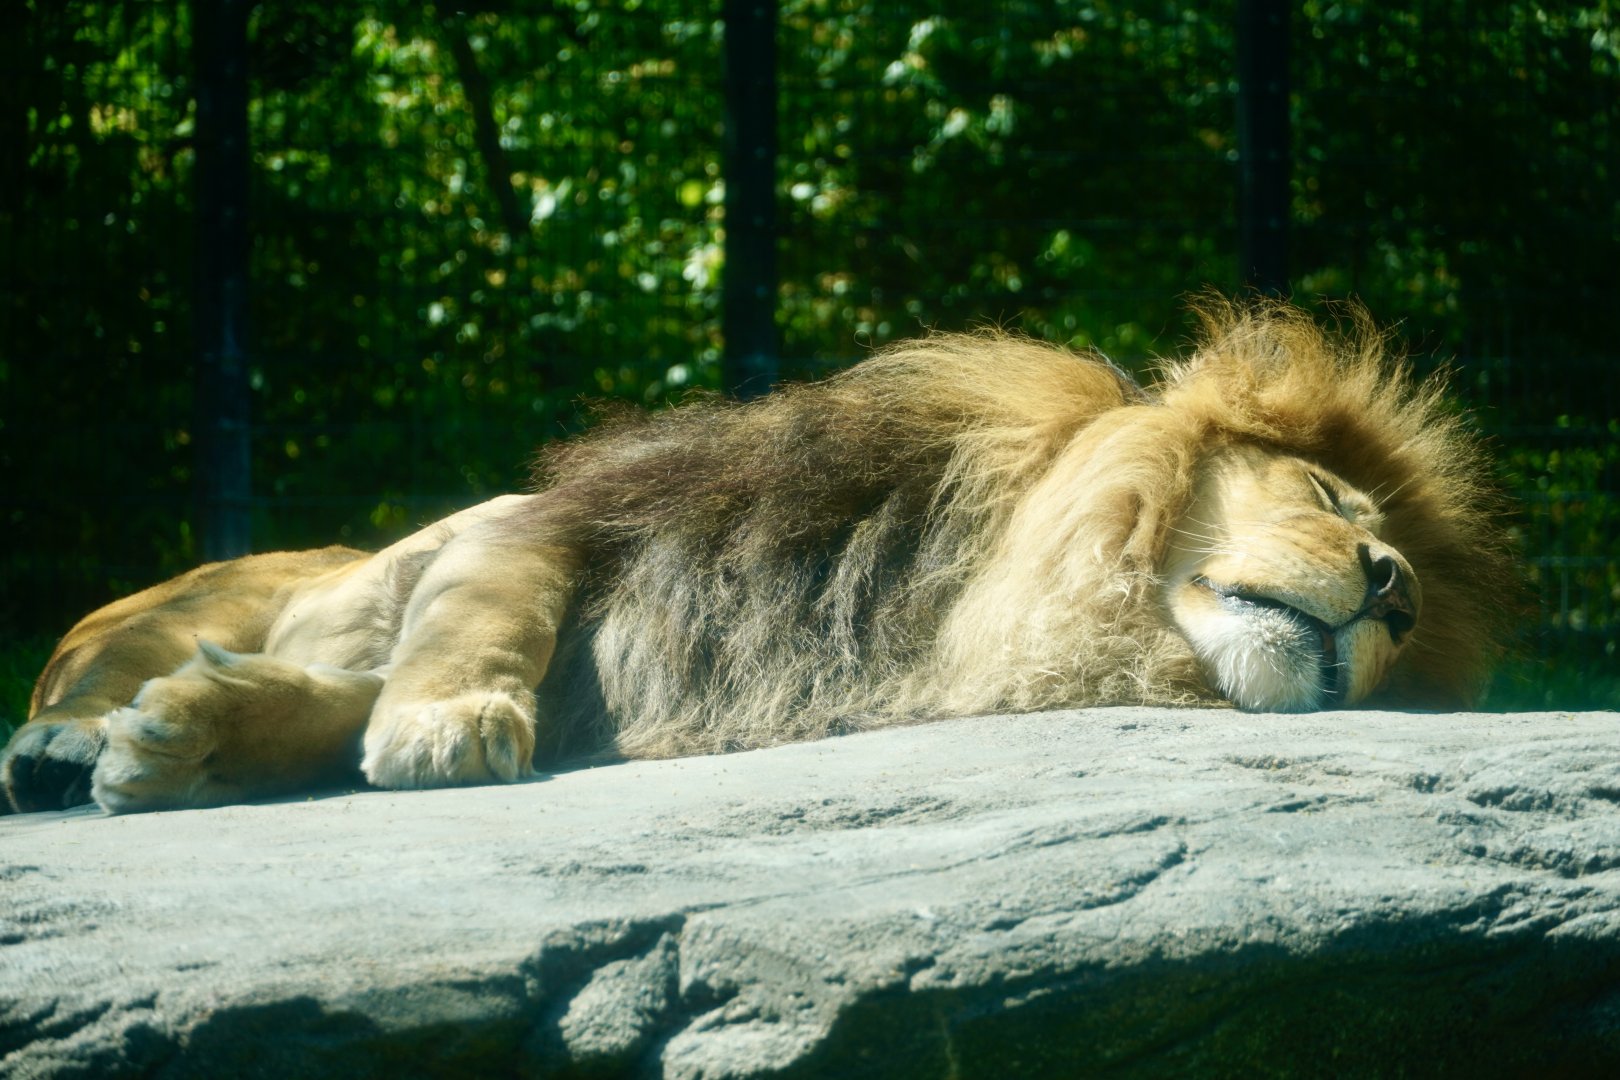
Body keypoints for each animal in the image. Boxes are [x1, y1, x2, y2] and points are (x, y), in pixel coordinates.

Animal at [1, 300, 1517, 815]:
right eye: (1330, 494)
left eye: (1408, 593)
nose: (1395, 588)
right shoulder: (543, 521)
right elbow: (489, 609)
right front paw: (442, 724)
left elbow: (329, 708)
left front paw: (196, 741)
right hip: (189, 594)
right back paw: (58, 746)